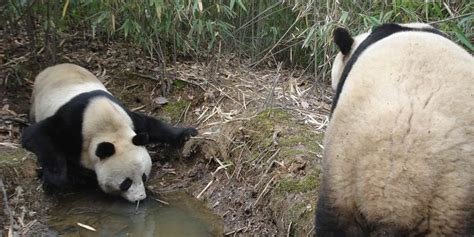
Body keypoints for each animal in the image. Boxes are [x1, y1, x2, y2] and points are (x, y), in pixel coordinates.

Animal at [20, 64, 196, 203]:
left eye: (144, 176)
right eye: (126, 182)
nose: (140, 198)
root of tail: (52, 67)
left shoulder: (126, 117)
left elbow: (150, 125)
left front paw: (186, 133)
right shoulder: (71, 124)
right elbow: (37, 134)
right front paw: (55, 180)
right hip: (36, 101)